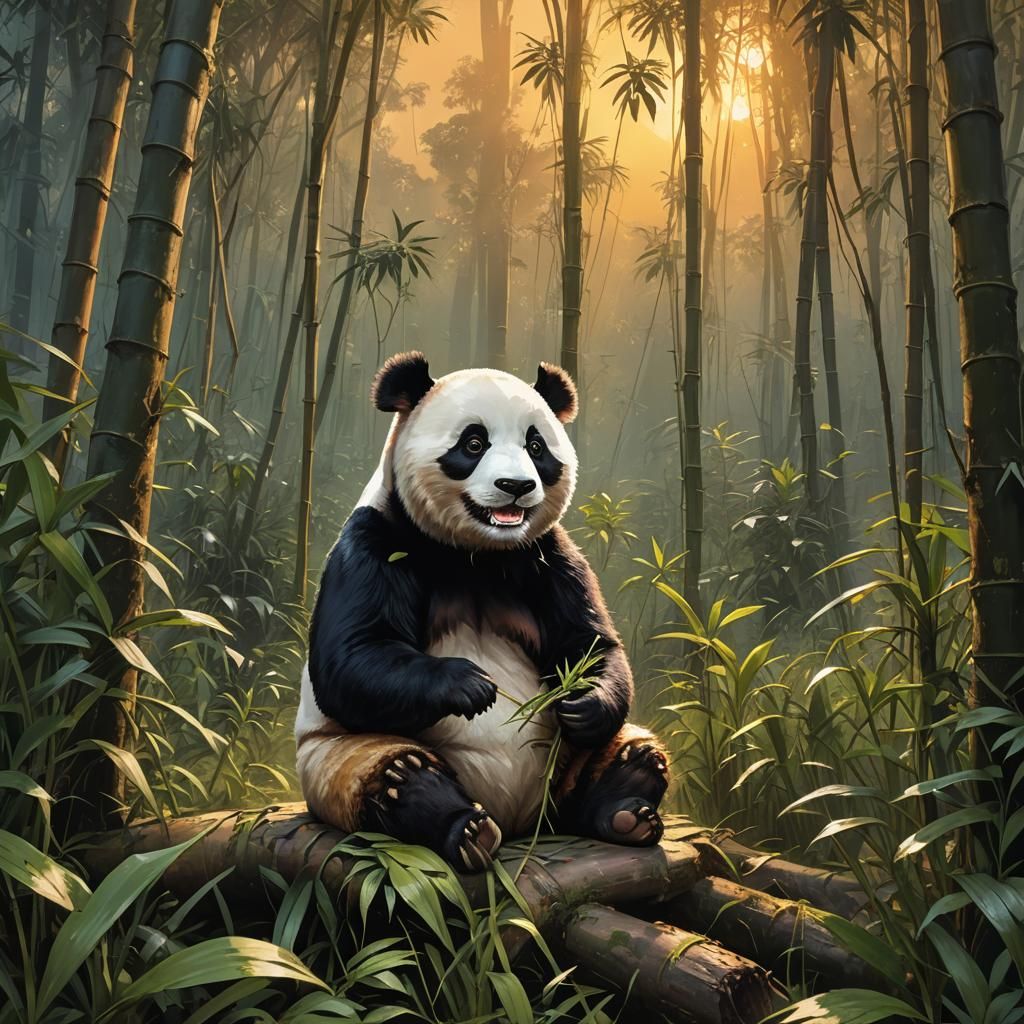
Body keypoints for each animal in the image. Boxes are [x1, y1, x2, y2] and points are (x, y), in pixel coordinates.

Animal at [295, 352, 670, 872]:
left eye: (536, 446)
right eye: (473, 443)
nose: (516, 486)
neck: (477, 553)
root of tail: (520, 822)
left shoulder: (547, 555)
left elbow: (588, 641)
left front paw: (582, 701)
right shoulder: (375, 540)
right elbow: (351, 659)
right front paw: (470, 685)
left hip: (563, 767)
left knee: (632, 748)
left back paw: (625, 814)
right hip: (336, 756)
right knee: (396, 773)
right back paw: (465, 829)